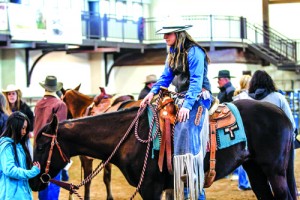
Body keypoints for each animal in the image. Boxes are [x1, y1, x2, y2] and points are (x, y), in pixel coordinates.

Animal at [29, 97, 296, 199]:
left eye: (41, 146)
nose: (32, 182)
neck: (129, 138)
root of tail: (282, 113)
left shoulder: (150, 188)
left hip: (275, 171)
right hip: (255, 170)